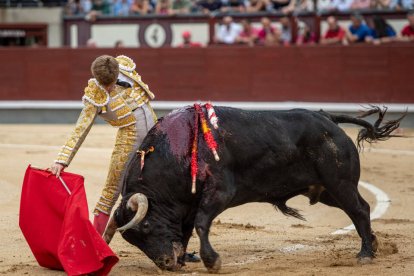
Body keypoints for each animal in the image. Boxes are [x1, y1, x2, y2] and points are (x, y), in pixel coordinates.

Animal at [104, 105, 404, 272]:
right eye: (133, 240)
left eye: (145, 227)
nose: (166, 264)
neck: (178, 150)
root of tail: (327, 117)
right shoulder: (186, 206)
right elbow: (186, 231)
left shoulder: (219, 192)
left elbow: (201, 224)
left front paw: (212, 261)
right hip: (326, 190)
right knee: (360, 208)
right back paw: (373, 245)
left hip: (339, 183)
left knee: (359, 210)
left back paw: (365, 254)